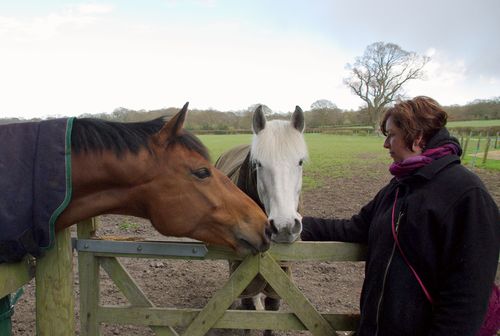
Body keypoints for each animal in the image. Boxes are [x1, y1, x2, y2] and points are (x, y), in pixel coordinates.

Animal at [216, 105, 308, 336]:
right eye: (258, 164)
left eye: (300, 162)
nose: (284, 227)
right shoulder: (243, 272)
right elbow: (250, 314)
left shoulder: (281, 272)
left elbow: (272, 313)